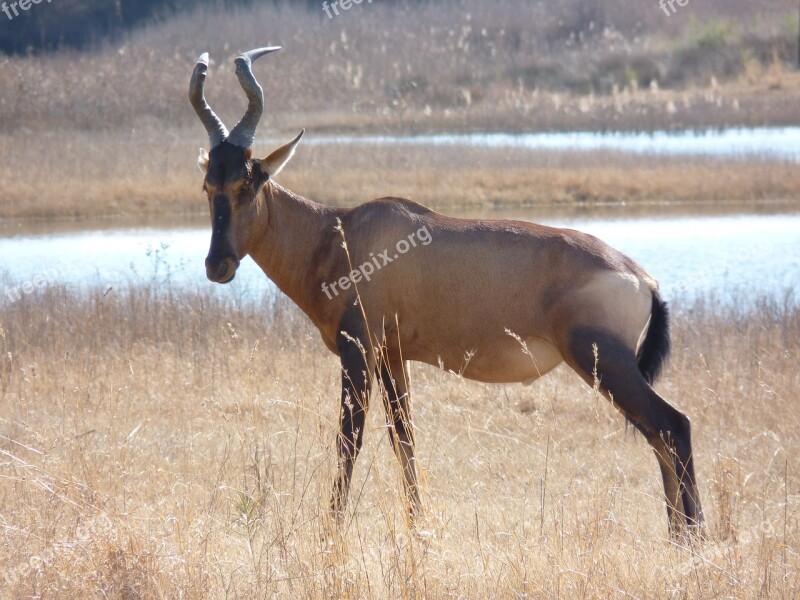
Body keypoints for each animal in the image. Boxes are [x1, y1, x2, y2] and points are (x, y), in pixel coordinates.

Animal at [191, 45, 704, 536]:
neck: (341, 233)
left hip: (604, 360)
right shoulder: (392, 356)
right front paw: (419, 529)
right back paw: (677, 538)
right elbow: (404, 438)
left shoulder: (359, 350)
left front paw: (330, 535)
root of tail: (643, 279)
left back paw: (694, 539)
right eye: (208, 185)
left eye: (248, 182)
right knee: (657, 436)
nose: (218, 265)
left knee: (672, 426)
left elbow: (349, 439)